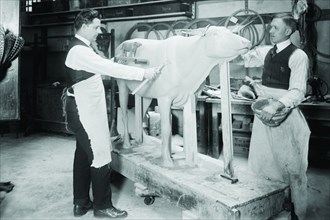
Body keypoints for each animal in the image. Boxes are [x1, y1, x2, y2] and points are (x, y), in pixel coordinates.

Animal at [115, 25, 250, 167]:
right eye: (215, 34)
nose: (247, 42)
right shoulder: (164, 98)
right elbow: (167, 128)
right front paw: (167, 161)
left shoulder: (191, 97)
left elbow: (188, 129)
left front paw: (188, 159)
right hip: (122, 84)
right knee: (124, 113)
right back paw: (127, 144)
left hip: (145, 95)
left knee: (140, 114)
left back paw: (144, 140)